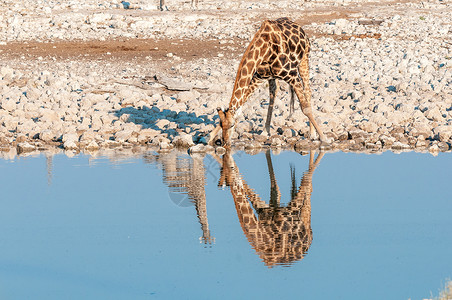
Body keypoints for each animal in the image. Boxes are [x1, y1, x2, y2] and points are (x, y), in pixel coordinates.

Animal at [208, 17, 328, 148]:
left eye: (232, 125)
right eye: (221, 124)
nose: (225, 143)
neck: (264, 51)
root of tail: (297, 25)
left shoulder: (292, 74)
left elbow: (305, 107)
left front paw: (323, 138)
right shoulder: (258, 77)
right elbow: (244, 99)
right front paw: (210, 136)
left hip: (304, 59)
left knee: (307, 91)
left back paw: (312, 134)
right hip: (272, 76)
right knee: (273, 94)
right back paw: (265, 131)